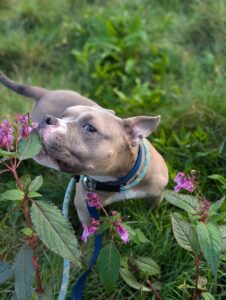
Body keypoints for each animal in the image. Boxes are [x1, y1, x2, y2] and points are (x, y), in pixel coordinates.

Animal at [0, 71, 168, 224]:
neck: (119, 181)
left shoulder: (157, 194)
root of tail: (45, 93)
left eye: (89, 128)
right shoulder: (85, 210)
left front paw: (152, 218)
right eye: (63, 115)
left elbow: (152, 210)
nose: (47, 119)